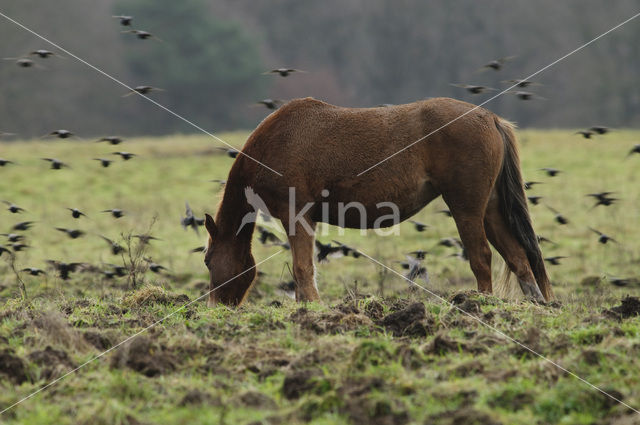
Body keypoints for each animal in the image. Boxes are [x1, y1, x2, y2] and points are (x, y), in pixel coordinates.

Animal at [204, 96, 552, 304]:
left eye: (208, 260)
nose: (215, 306)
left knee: (481, 258)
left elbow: (302, 267)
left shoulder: (296, 216)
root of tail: (489, 118)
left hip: (466, 208)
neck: (274, 144)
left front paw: (311, 306)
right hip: (490, 209)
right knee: (518, 257)